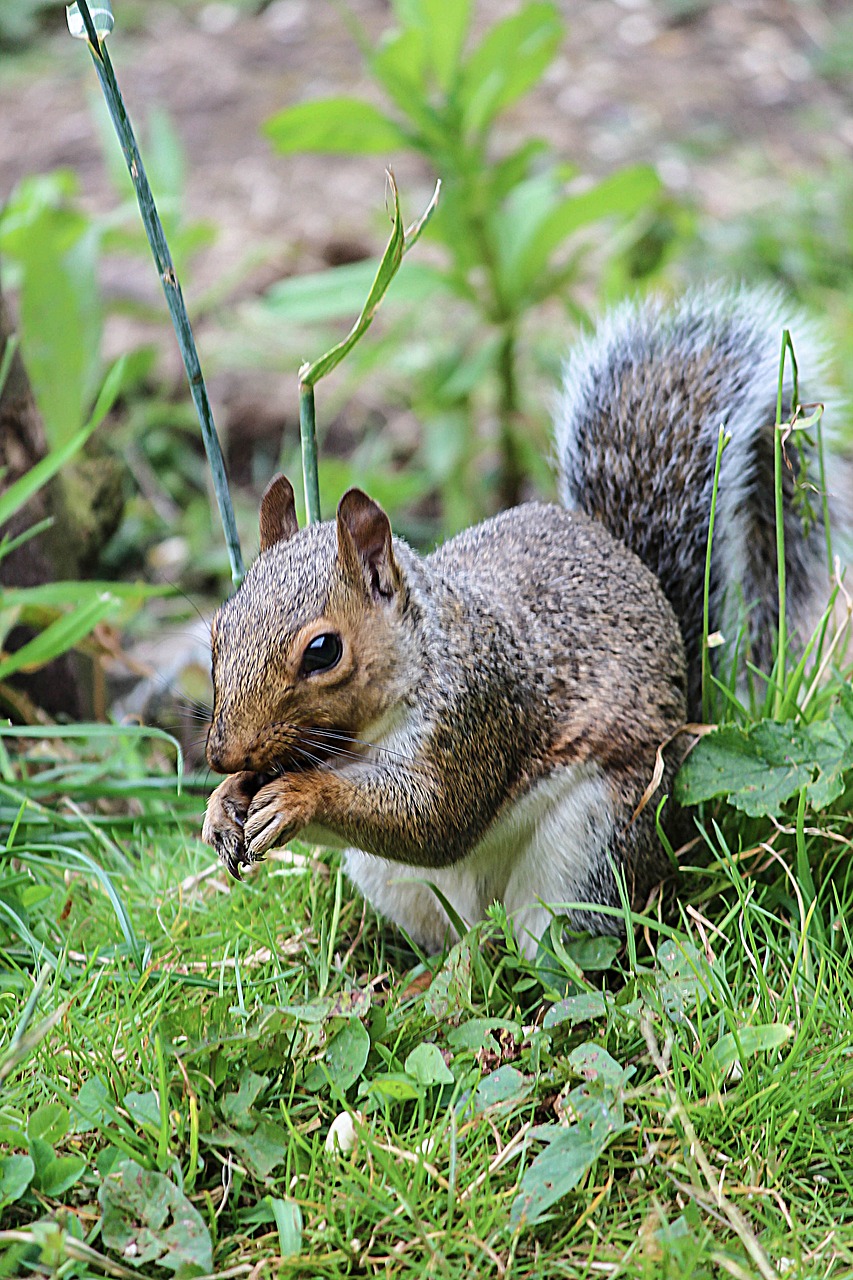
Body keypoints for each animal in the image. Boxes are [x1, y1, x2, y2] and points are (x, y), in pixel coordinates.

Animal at [201, 285, 829, 957]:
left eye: (323, 651)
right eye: (217, 631)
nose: (222, 755)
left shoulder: (478, 713)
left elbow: (436, 820)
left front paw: (297, 795)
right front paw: (221, 807)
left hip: (592, 845)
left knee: (552, 948)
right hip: (395, 883)